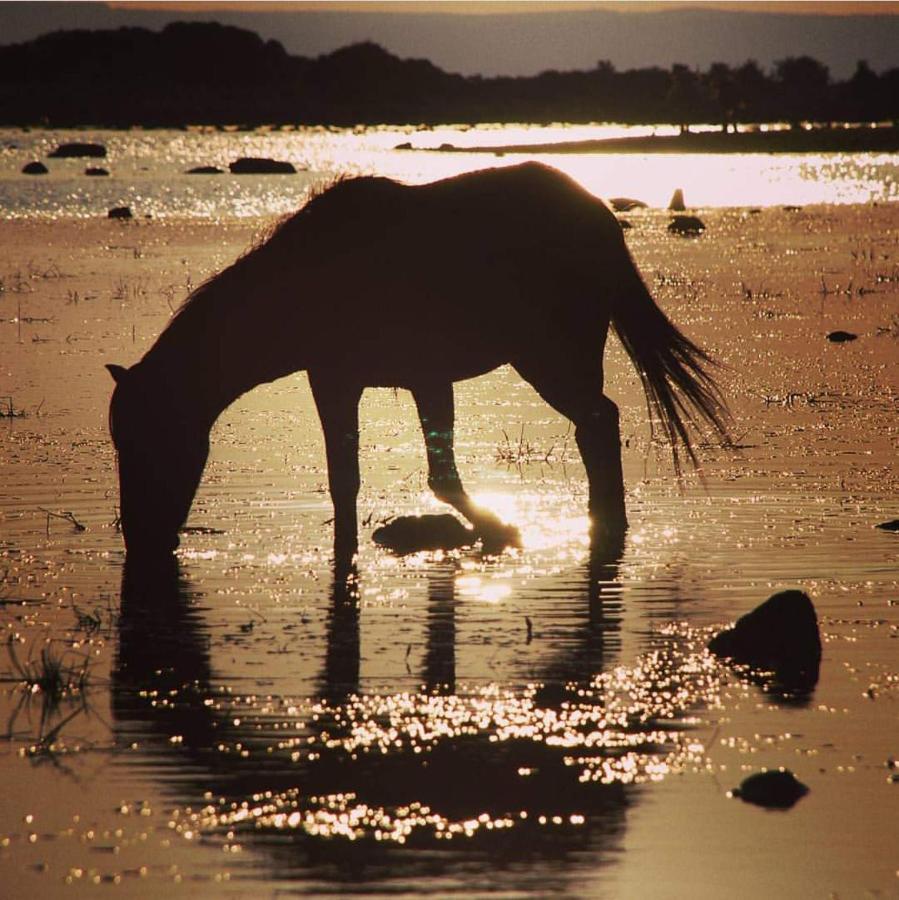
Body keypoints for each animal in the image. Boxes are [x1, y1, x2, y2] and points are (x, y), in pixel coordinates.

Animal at [107, 160, 732, 564]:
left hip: (551, 358)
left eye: (145, 440)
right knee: (595, 425)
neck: (306, 280)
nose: (138, 537)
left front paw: (499, 527)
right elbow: (365, 478)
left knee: (598, 423)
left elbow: (416, 476)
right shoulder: (368, 381)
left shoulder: (385, 380)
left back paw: (606, 526)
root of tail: (598, 214)